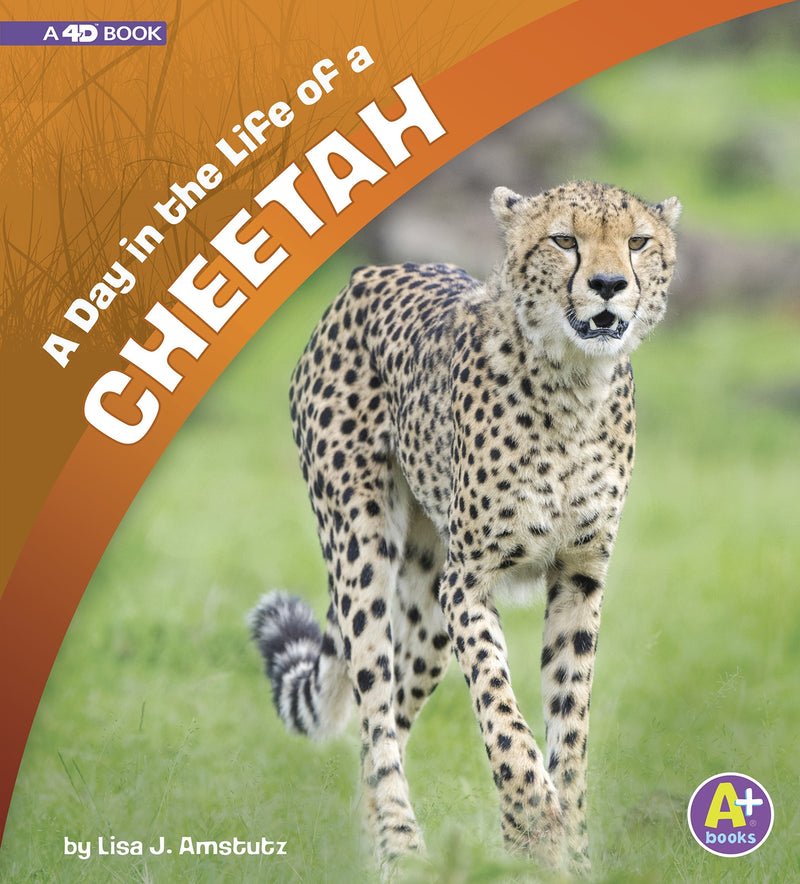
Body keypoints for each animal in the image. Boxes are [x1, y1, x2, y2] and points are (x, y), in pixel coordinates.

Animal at [249, 180, 681, 873]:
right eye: (565, 240)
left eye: (638, 241)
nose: (610, 283)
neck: (573, 385)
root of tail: (372, 272)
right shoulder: (470, 580)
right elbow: (500, 710)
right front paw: (533, 823)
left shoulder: (580, 575)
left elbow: (570, 724)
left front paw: (569, 854)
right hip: (362, 549)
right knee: (375, 708)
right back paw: (401, 850)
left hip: (427, 601)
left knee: (392, 711)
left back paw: (378, 847)